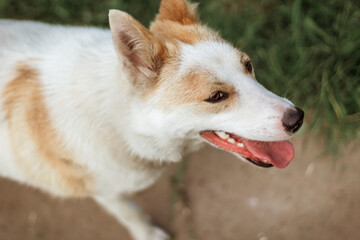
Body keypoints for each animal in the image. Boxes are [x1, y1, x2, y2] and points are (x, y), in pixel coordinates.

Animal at [0, 0, 304, 239]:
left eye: (248, 65)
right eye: (216, 96)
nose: (297, 118)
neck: (121, 121)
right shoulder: (105, 191)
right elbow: (131, 212)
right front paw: (147, 234)